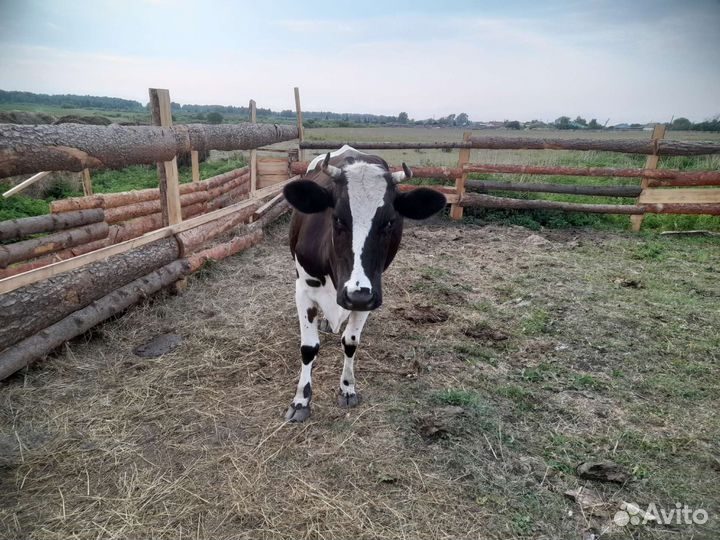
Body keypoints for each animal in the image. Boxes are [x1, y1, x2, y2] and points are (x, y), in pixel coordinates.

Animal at [281, 145, 447, 422]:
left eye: (389, 222)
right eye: (337, 218)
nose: (355, 296)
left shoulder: (368, 294)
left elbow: (350, 341)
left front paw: (347, 388)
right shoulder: (303, 289)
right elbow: (308, 347)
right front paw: (301, 400)